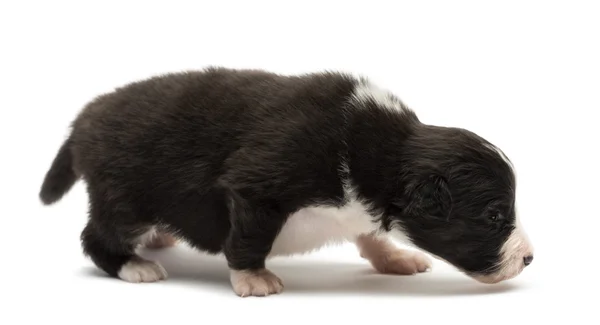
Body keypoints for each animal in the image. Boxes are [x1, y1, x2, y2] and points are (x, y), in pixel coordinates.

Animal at [41, 66, 536, 296]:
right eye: (494, 216)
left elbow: (370, 235)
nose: (530, 259)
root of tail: (84, 119)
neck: (374, 150)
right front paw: (253, 277)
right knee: (96, 236)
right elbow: (249, 238)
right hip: (125, 198)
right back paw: (134, 265)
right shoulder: (257, 187)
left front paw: (394, 257)